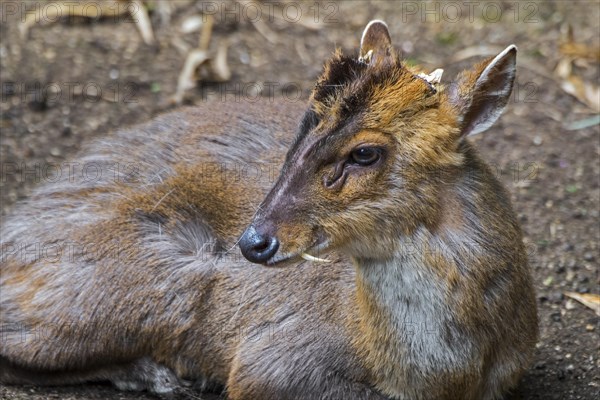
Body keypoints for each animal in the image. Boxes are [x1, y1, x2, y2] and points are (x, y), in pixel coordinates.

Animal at [1, 21, 540, 400]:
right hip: (142, 282)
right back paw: (153, 373)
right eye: (301, 130)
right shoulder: (269, 362)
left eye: (365, 152)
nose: (252, 241)